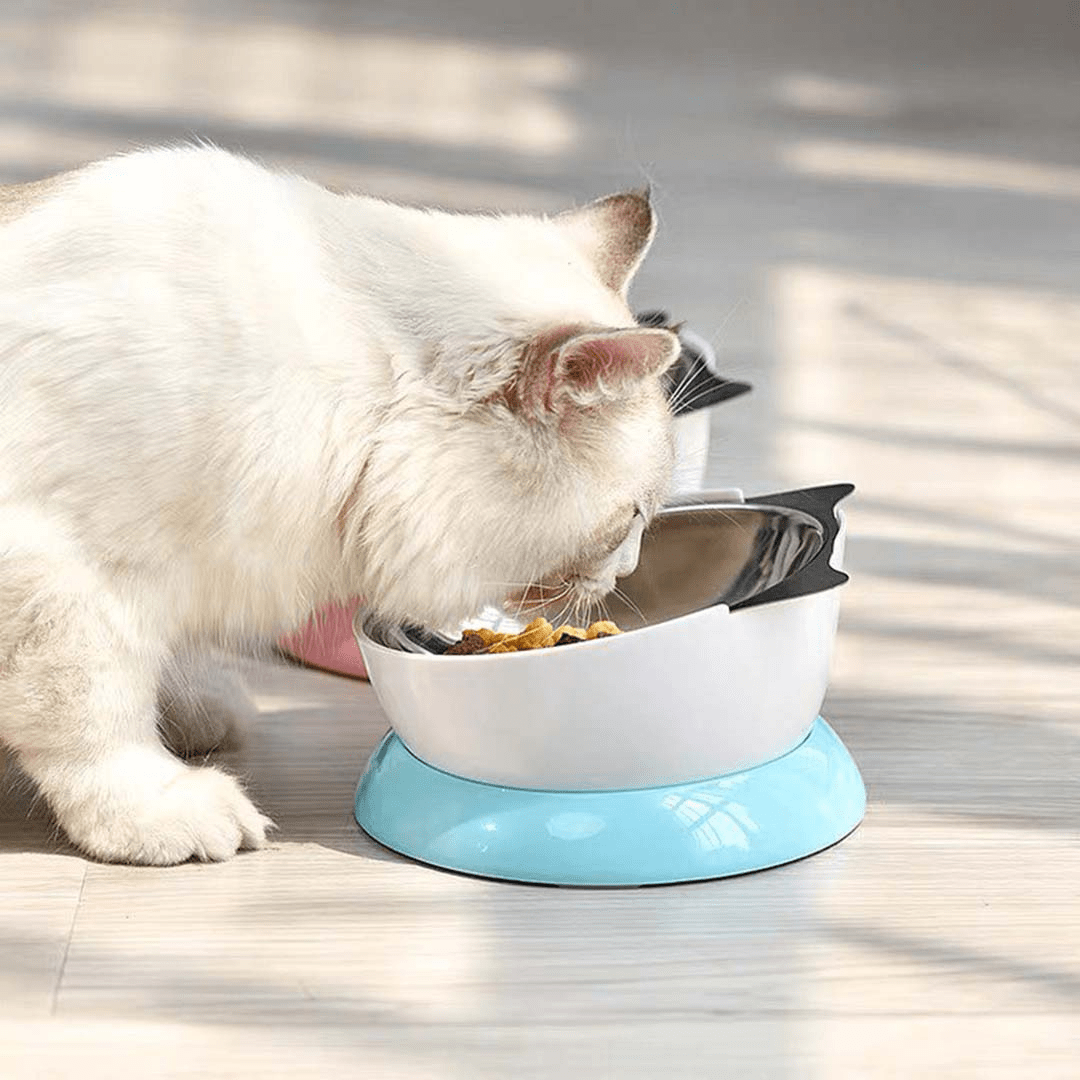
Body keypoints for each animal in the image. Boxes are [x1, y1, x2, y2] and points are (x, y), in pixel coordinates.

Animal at [0, 147, 673, 864]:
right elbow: (96, 718)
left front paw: (193, 716)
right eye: (634, 517)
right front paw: (158, 813)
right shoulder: (63, 581)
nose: (629, 571)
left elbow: (161, 672)